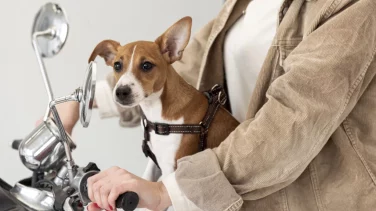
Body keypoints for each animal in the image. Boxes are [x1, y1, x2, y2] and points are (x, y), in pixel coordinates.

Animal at [89, 16, 238, 193]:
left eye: (146, 65)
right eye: (117, 65)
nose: (121, 91)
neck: (157, 112)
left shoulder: (171, 168)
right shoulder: (155, 160)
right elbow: (146, 178)